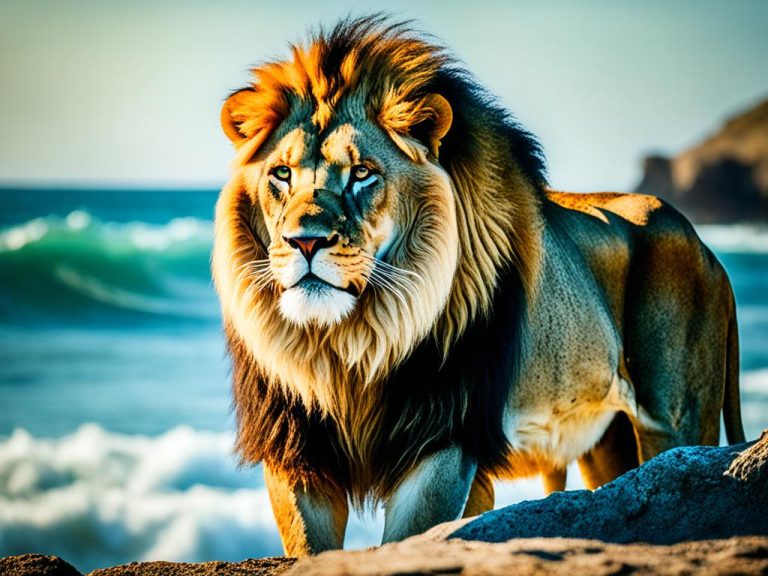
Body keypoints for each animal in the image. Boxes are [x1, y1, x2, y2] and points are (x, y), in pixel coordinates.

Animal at [210, 16, 744, 560]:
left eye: (362, 173)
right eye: (282, 173)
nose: (305, 240)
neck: (349, 346)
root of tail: (704, 244)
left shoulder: (443, 441)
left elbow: (411, 537)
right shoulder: (294, 448)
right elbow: (310, 547)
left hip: (674, 420)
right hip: (607, 443)